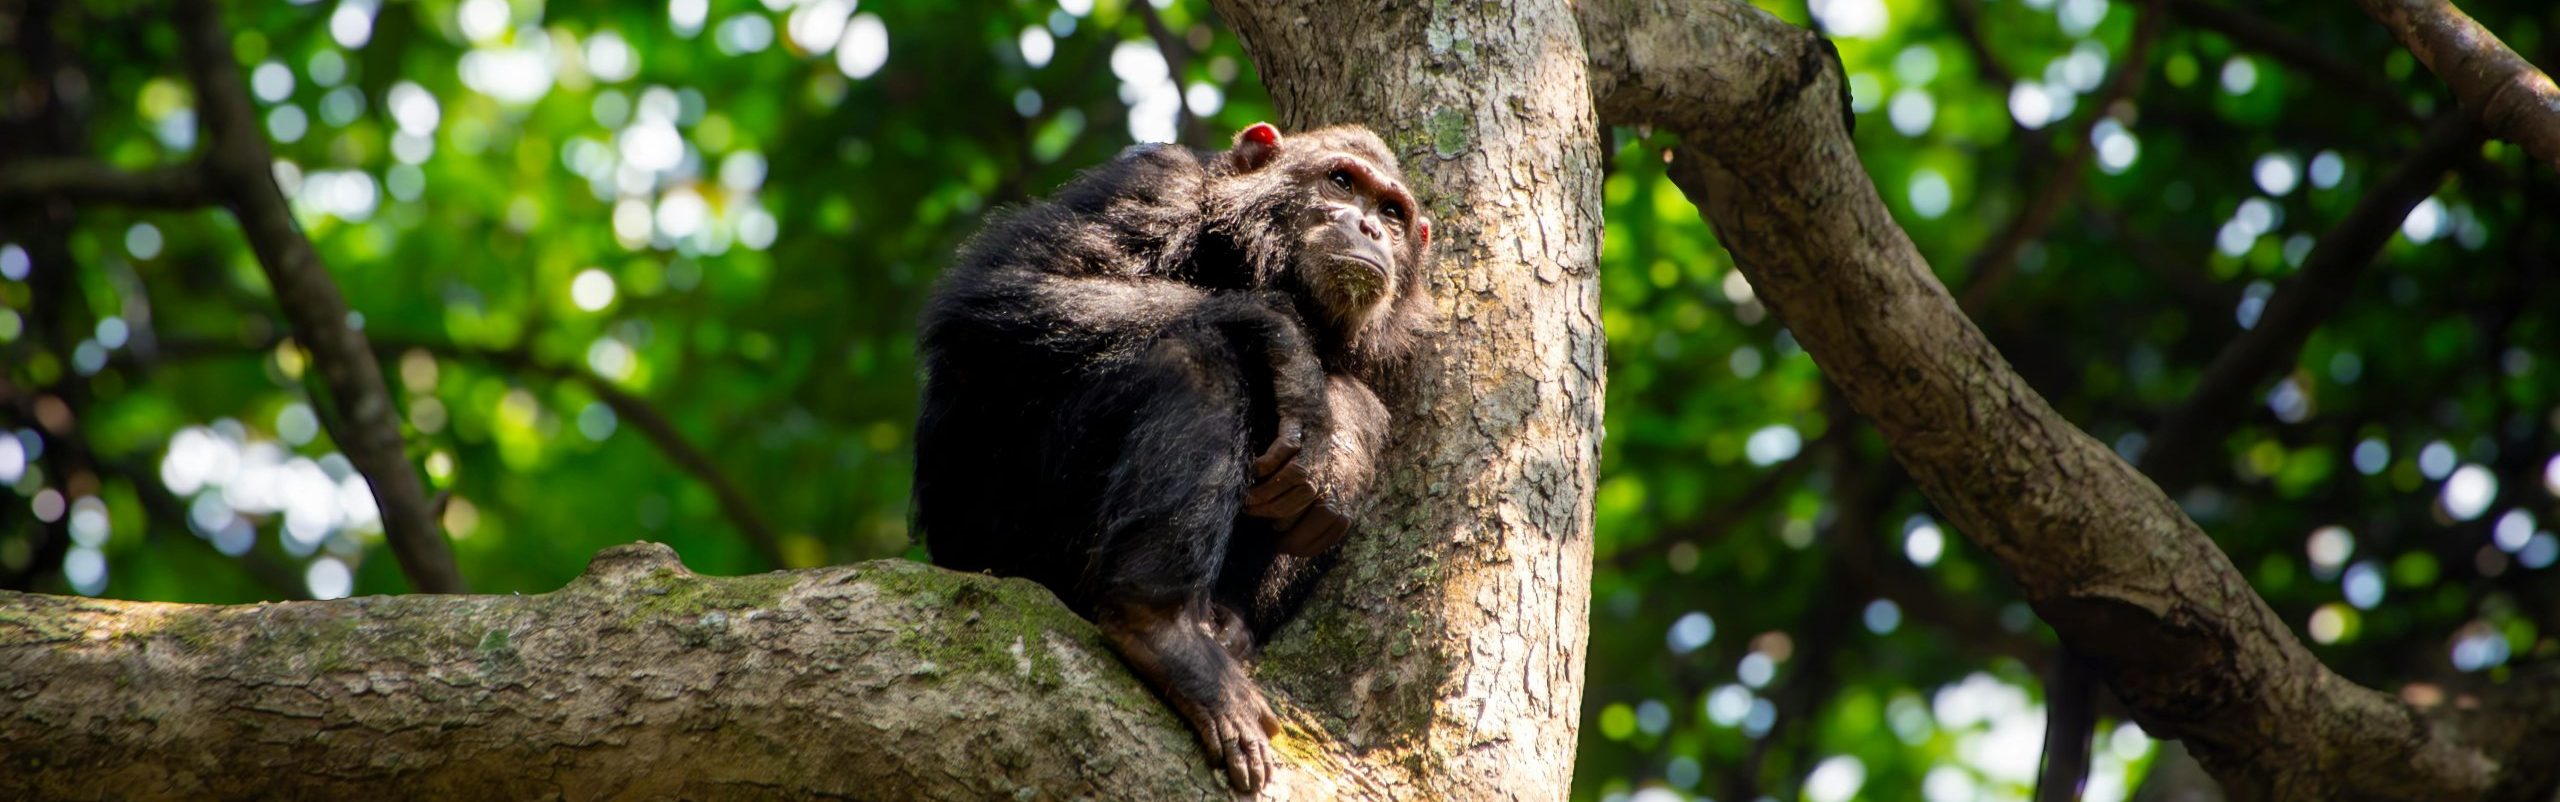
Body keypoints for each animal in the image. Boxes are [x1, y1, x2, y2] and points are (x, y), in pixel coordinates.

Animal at [912, 122, 1431, 793]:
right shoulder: (1149, 186)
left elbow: (1356, 412)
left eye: (1393, 213)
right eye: (1341, 181)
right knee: (1196, 358)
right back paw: (1165, 630)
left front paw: (1344, 438)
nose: (1369, 226)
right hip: (1003, 541)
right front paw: (1284, 338)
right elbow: (1003, 292)